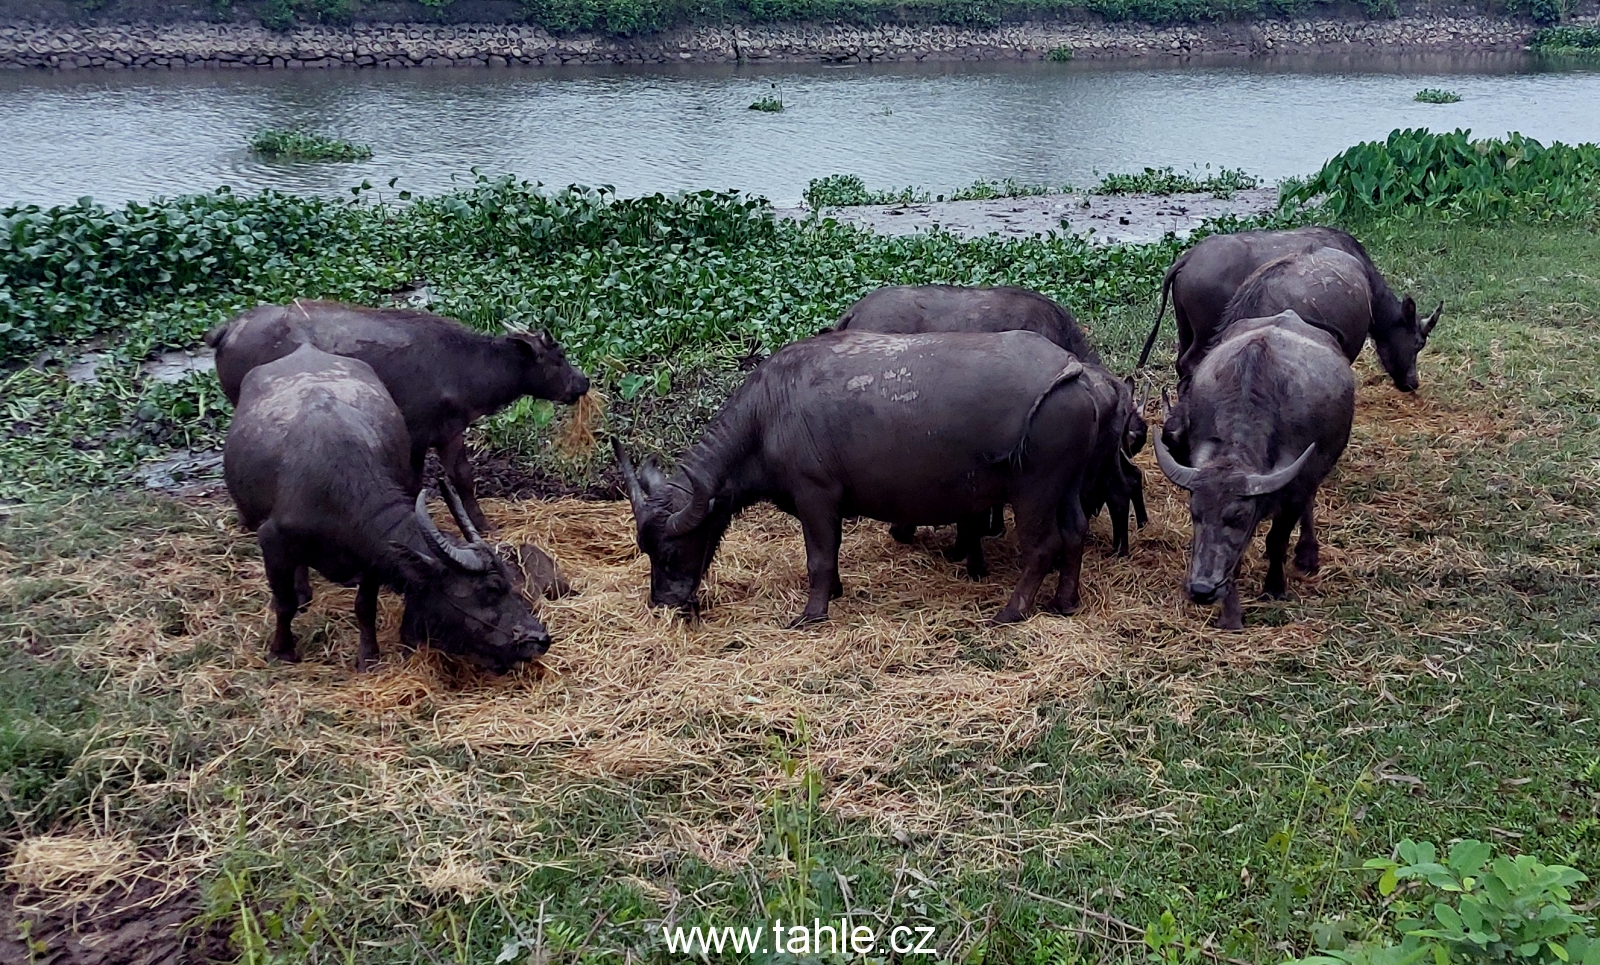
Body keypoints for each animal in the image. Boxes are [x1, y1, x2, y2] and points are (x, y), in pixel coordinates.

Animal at [206, 297, 595, 531]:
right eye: (558, 355)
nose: (583, 382)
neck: (472, 380)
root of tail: (223, 332)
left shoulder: (444, 431)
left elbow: (453, 478)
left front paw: (480, 522)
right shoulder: (423, 431)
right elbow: (423, 481)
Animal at [222, 345, 553, 672]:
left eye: (509, 582)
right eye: (490, 590)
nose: (540, 639)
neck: (335, 489)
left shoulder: (372, 556)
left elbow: (365, 607)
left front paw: (368, 658)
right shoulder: (273, 542)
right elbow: (284, 603)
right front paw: (282, 651)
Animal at [604, 329, 1107, 627]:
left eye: (670, 551)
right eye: (646, 549)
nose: (663, 601)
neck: (767, 414)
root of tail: (1073, 371)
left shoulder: (815, 495)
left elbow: (819, 558)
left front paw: (812, 613)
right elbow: (830, 554)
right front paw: (835, 592)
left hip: (1033, 490)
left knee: (1042, 546)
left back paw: (1012, 610)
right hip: (1064, 487)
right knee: (1075, 532)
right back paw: (1065, 601)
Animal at [1132, 225, 1446, 388]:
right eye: (1418, 343)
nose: (1413, 382)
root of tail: (1186, 259)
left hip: (1184, 326)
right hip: (1204, 332)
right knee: (1190, 362)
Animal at [1152, 305, 1350, 630]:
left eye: (1238, 517)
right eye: (1195, 513)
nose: (1202, 590)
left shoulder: (1294, 492)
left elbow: (1276, 540)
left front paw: (1275, 586)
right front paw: (1231, 615)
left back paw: (1307, 556)